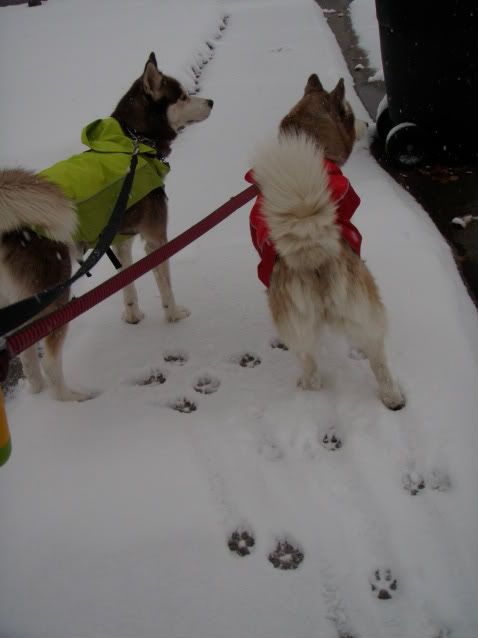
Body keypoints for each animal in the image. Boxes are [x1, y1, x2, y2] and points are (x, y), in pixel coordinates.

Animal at [0, 53, 213, 400]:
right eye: (181, 96)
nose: (211, 101)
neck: (133, 143)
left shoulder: (120, 239)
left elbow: (128, 283)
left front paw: (133, 316)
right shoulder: (156, 238)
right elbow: (165, 284)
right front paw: (174, 315)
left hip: (17, 301)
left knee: (28, 355)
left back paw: (37, 389)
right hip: (55, 295)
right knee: (49, 358)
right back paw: (70, 397)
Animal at [248, 75, 406, 410]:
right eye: (349, 113)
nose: (367, 123)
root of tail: (311, 246)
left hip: (306, 327)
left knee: (315, 367)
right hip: (361, 310)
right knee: (375, 357)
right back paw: (391, 396)